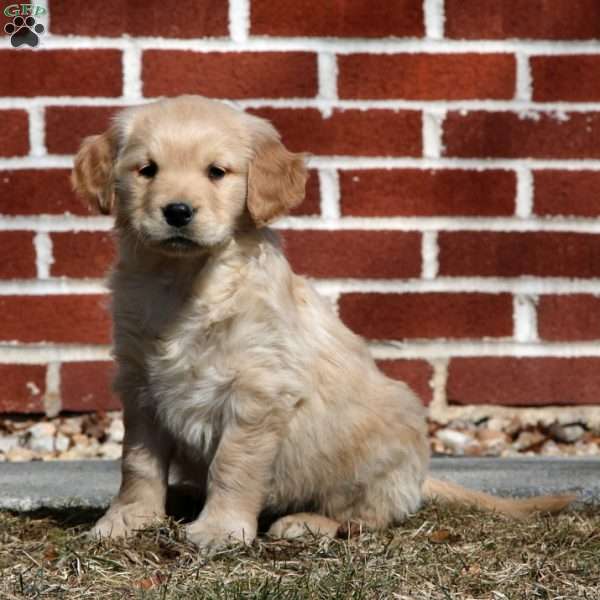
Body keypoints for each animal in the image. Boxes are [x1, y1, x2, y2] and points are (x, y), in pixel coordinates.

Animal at [72, 95, 576, 548]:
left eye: (216, 172)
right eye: (147, 170)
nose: (177, 211)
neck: (182, 281)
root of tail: (419, 477)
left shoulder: (257, 393)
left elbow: (233, 465)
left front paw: (220, 530)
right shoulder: (141, 386)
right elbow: (137, 462)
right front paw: (126, 520)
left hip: (381, 442)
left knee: (365, 515)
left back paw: (306, 522)